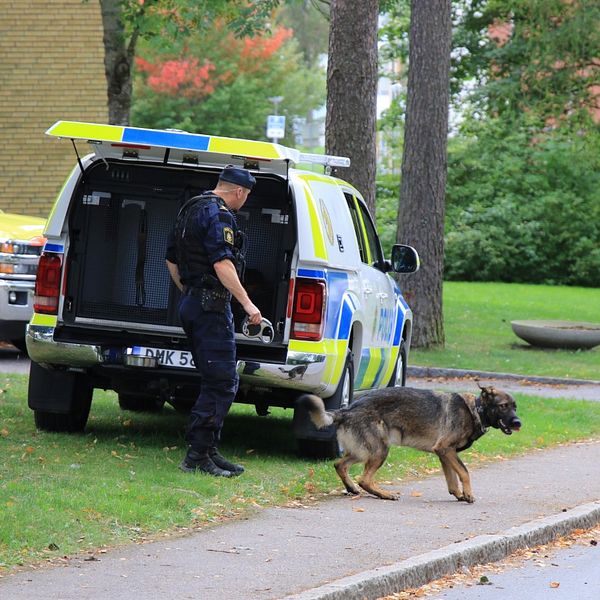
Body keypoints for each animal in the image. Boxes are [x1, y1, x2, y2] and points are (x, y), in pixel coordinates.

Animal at [300, 384, 520, 502]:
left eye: (515, 407)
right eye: (503, 406)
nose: (519, 423)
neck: (477, 410)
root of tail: (347, 409)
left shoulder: (444, 453)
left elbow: (452, 478)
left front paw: (458, 494)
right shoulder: (446, 449)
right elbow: (464, 472)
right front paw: (468, 494)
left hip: (362, 451)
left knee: (339, 464)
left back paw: (353, 488)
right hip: (380, 450)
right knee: (365, 479)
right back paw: (385, 494)